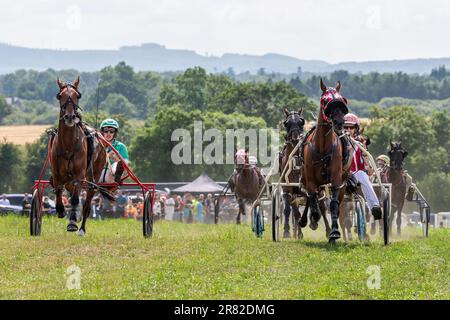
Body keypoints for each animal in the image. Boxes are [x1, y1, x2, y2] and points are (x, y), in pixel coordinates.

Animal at [49, 76, 114, 234]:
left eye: (77, 96)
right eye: (60, 96)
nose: (70, 117)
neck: (68, 145)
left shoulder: (79, 175)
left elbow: (74, 199)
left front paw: (72, 222)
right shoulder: (57, 173)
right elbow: (58, 191)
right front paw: (61, 210)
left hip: (93, 176)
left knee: (87, 202)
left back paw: (82, 228)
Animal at [300, 79, 354, 242]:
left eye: (342, 99)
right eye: (325, 100)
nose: (339, 122)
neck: (323, 148)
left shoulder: (336, 179)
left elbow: (334, 205)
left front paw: (334, 232)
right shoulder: (311, 179)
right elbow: (313, 200)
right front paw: (313, 218)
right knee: (312, 199)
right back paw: (307, 220)